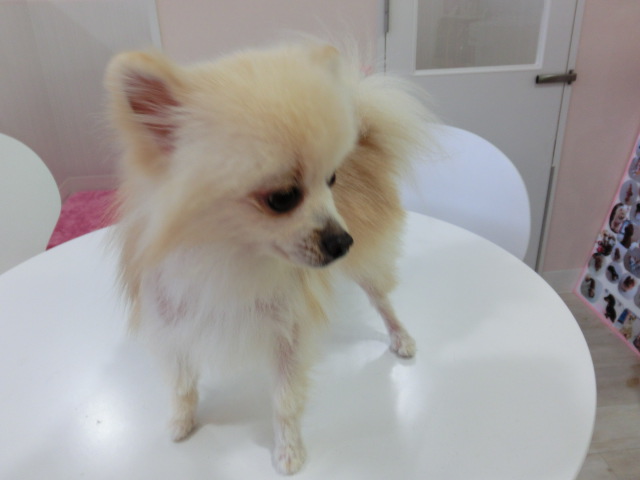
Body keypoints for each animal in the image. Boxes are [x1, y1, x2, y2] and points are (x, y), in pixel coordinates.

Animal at [106, 39, 432, 475]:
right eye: (282, 198)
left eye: (332, 180)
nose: (342, 240)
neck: (229, 256)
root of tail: (364, 132)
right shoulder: (172, 321)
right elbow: (181, 382)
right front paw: (181, 421)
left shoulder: (288, 331)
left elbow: (285, 401)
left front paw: (289, 451)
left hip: (368, 262)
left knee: (382, 299)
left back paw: (401, 335)